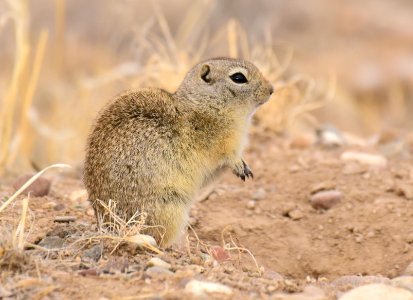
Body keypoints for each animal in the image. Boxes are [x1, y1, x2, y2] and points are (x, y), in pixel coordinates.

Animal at [83, 56, 274, 246]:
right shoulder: (222, 146)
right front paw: (240, 166)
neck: (207, 105)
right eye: (238, 78)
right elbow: (227, 156)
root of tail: (108, 224)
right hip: (169, 209)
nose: (272, 89)